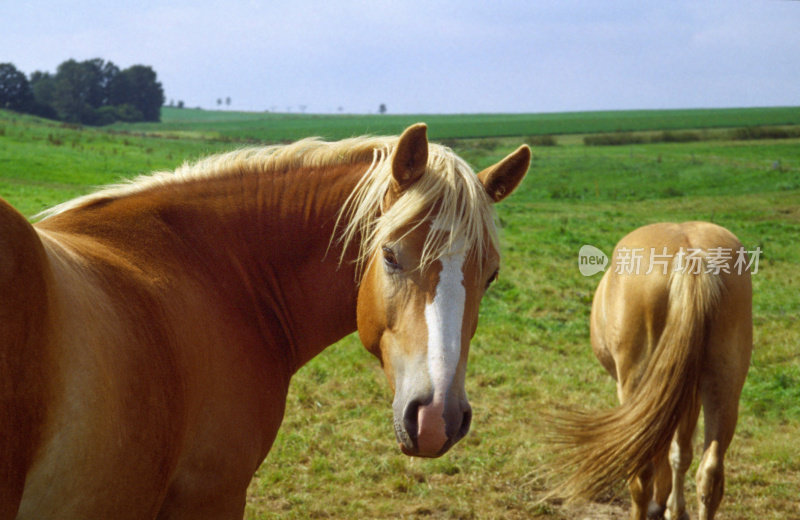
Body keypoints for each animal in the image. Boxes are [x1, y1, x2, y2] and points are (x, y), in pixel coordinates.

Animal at [548, 222, 752, 520]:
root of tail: (690, 258)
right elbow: (681, 452)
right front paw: (674, 509)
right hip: (724, 387)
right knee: (710, 473)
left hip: (637, 383)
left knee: (642, 473)